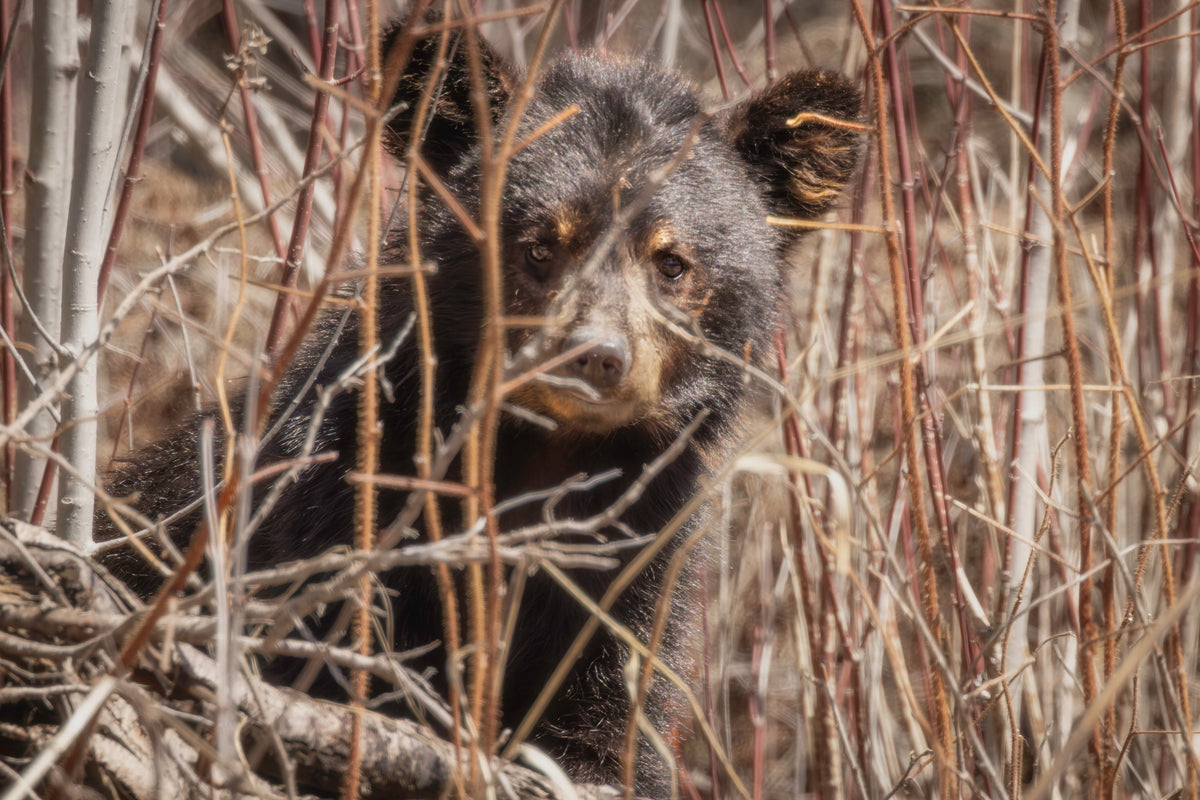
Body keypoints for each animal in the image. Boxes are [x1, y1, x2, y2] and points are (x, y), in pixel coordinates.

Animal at [95, 13, 861, 798]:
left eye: (671, 263)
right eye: (538, 247)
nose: (594, 356)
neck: (543, 452)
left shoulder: (642, 555)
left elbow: (615, 715)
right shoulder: (338, 506)